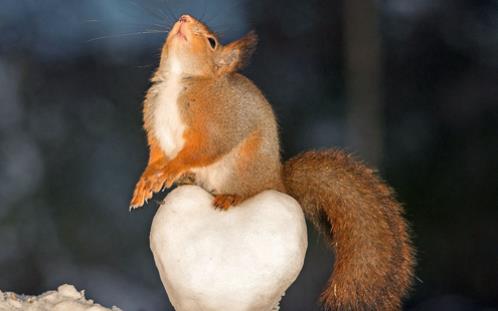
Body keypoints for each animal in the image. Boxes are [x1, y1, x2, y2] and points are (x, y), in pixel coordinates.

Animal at [130, 14, 414, 310]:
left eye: (211, 41)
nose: (184, 18)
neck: (179, 79)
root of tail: (277, 181)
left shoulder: (216, 124)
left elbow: (203, 150)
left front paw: (170, 170)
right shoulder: (155, 127)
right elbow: (156, 157)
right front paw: (146, 183)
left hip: (240, 168)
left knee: (246, 191)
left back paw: (230, 197)